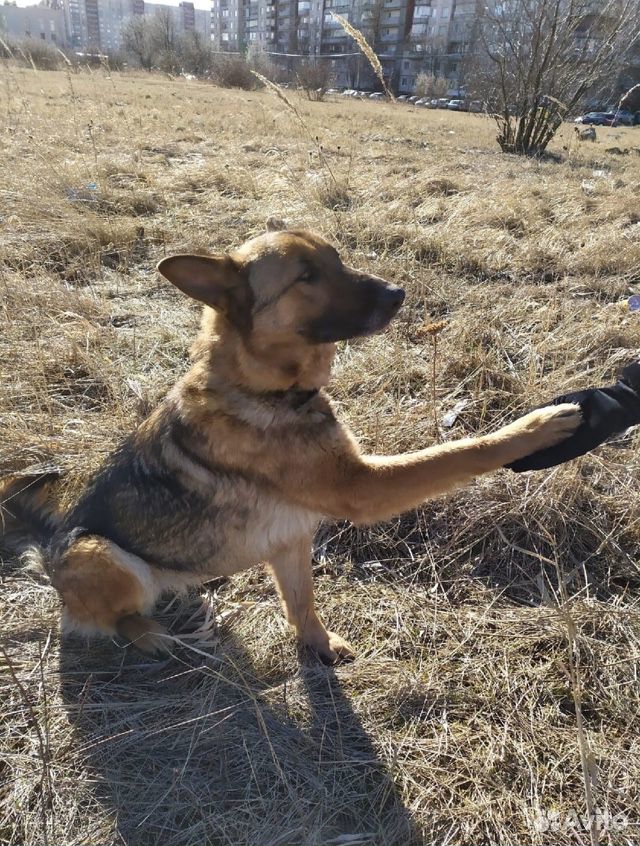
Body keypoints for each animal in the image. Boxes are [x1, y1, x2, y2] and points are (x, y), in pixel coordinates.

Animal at [0, 222, 580, 664]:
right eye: (306, 276)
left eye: (337, 260)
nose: (398, 293)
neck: (269, 390)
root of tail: (47, 543)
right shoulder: (363, 487)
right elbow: (459, 452)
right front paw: (535, 427)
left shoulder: (290, 539)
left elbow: (302, 602)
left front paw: (317, 645)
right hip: (103, 555)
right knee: (107, 620)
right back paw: (153, 635)